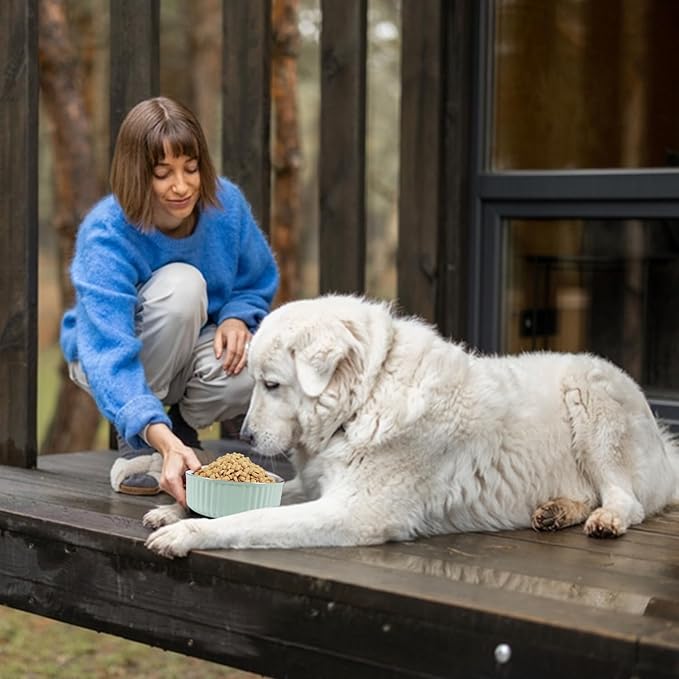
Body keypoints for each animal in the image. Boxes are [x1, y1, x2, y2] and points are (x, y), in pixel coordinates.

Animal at [143, 296, 679, 556]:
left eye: (271, 384)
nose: (250, 437)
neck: (367, 397)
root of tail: (663, 441)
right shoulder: (320, 487)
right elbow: (255, 503)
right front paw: (175, 510)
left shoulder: (354, 511)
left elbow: (249, 520)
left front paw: (187, 534)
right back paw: (556, 511)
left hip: (590, 397)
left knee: (625, 499)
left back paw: (605, 519)